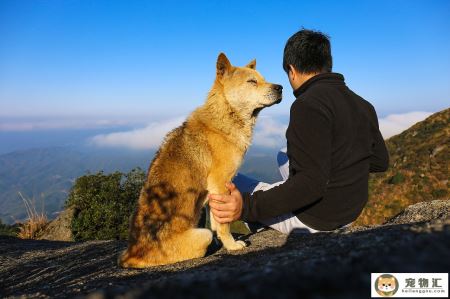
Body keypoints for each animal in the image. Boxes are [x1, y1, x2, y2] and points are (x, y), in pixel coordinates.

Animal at [118, 52, 282, 268]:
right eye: (252, 81)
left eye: (263, 78)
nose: (281, 87)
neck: (226, 115)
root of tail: (129, 254)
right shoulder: (219, 184)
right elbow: (223, 224)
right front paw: (232, 245)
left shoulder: (214, 192)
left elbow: (216, 222)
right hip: (201, 235)